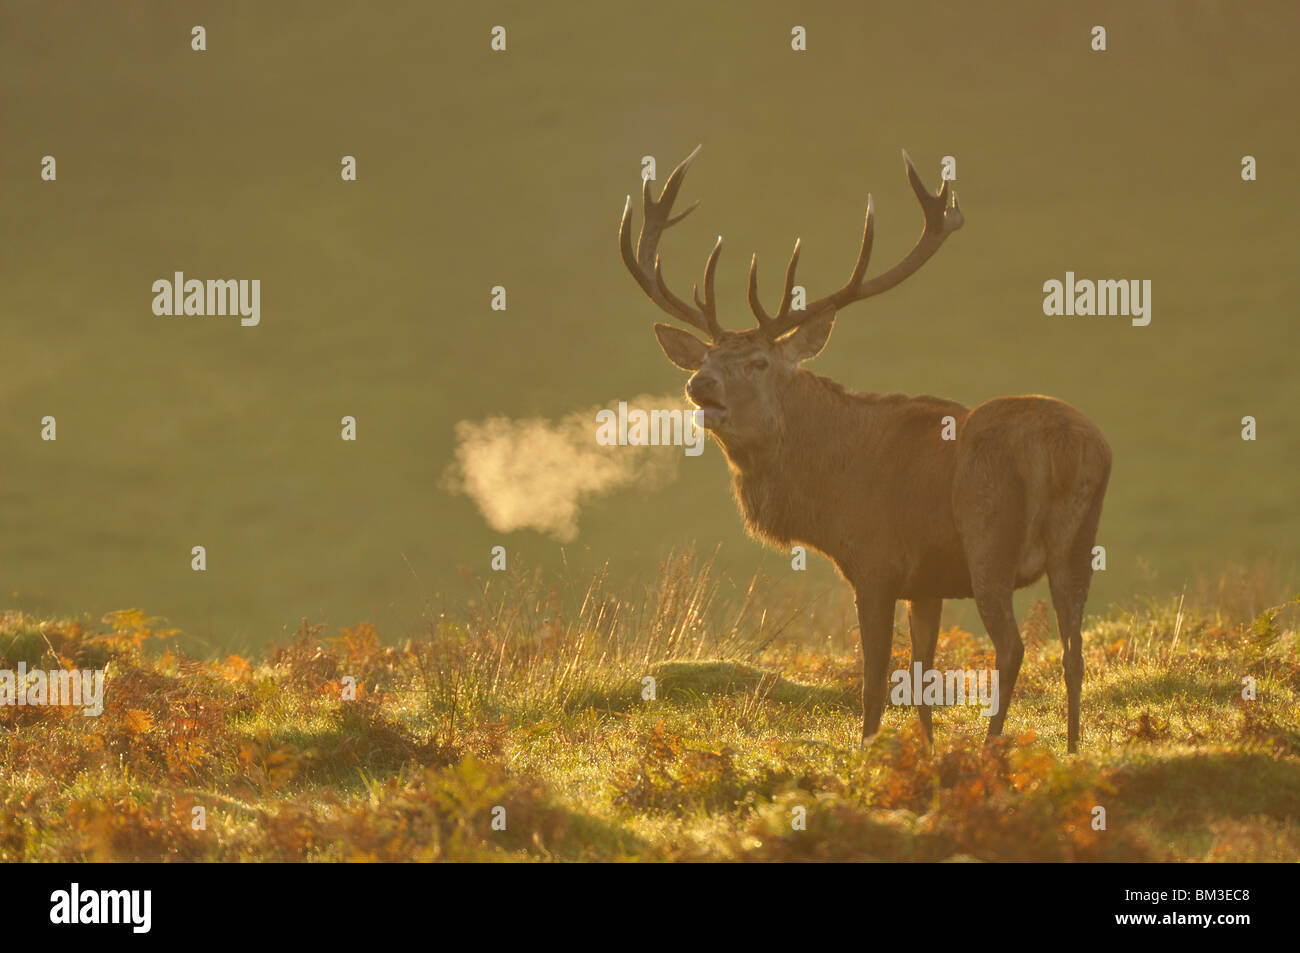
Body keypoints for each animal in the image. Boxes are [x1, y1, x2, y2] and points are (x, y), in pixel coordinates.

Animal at [624, 144, 1112, 748]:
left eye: (758, 362)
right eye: (707, 358)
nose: (700, 384)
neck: (828, 495)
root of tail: (1070, 449)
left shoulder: (876, 565)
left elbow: (876, 681)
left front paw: (868, 751)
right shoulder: (927, 583)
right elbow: (923, 678)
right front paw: (927, 752)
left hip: (988, 540)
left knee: (1014, 646)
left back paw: (991, 744)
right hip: (1078, 545)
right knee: (1073, 651)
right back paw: (1071, 748)